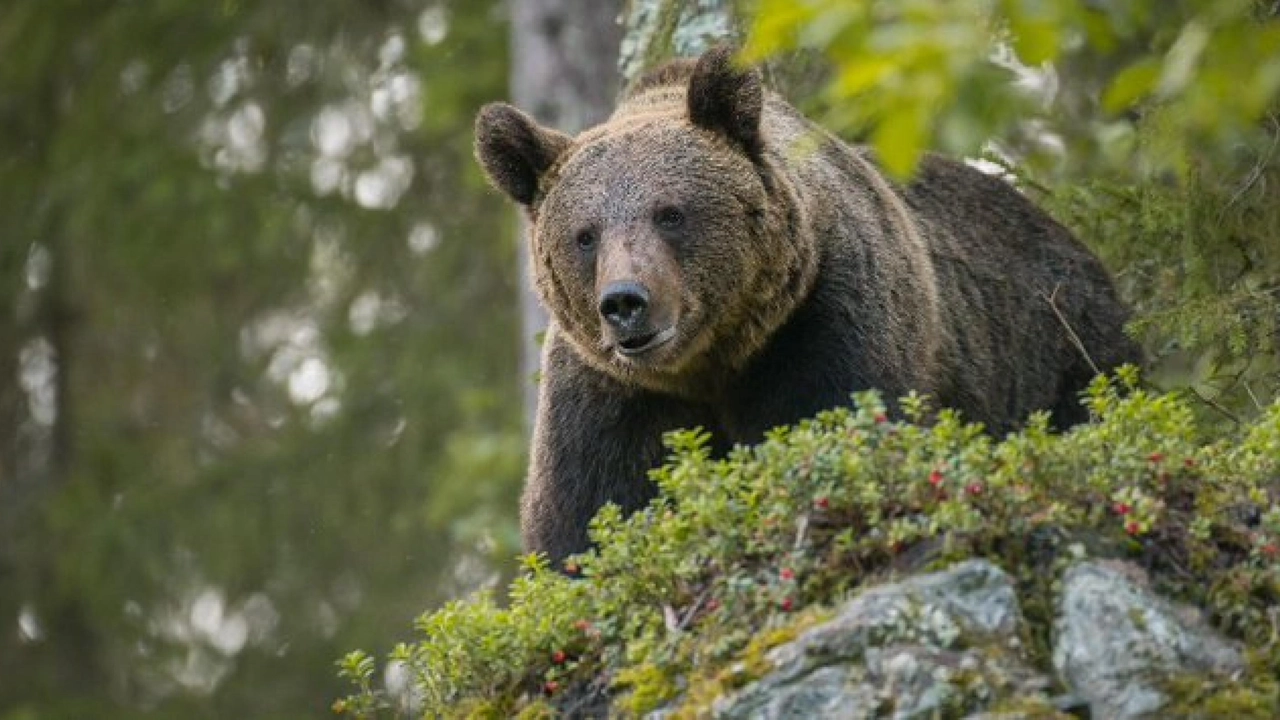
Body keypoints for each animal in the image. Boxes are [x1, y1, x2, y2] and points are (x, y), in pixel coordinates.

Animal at [473, 46, 1141, 561]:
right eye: (584, 234)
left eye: (670, 213)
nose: (625, 303)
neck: (712, 362)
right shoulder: (610, 393)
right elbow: (587, 517)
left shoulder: (827, 320)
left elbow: (834, 429)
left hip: (1064, 351)